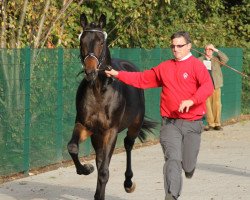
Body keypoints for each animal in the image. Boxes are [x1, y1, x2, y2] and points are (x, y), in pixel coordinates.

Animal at [67, 13, 156, 199]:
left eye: (101, 41)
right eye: (82, 40)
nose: (90, 71)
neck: (99, 90)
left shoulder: (111, 131)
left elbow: (103, 172)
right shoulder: (85, 126)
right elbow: (73, 147)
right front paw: (85, 169)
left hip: (134, 125)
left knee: (128, 145)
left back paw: (128, 183)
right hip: (97, 135)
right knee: (100, 158)